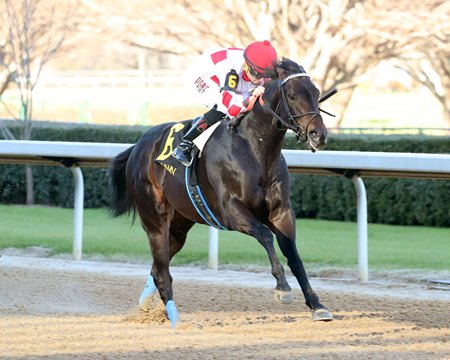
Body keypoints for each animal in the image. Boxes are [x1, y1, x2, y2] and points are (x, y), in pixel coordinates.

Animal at [109, 57, 334, 328]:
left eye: (316, 93)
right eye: (291, 95)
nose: (318, 135)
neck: (256, 151)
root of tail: (137, 146)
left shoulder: (281, 212)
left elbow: (294, 256)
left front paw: (317, 305)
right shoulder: (231, 211)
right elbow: (265, 235)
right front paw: (282, 288)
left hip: (180, 225)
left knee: (156, 268)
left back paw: (147, 308)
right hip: (155, 219)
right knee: (162, 271)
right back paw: (174, 318)